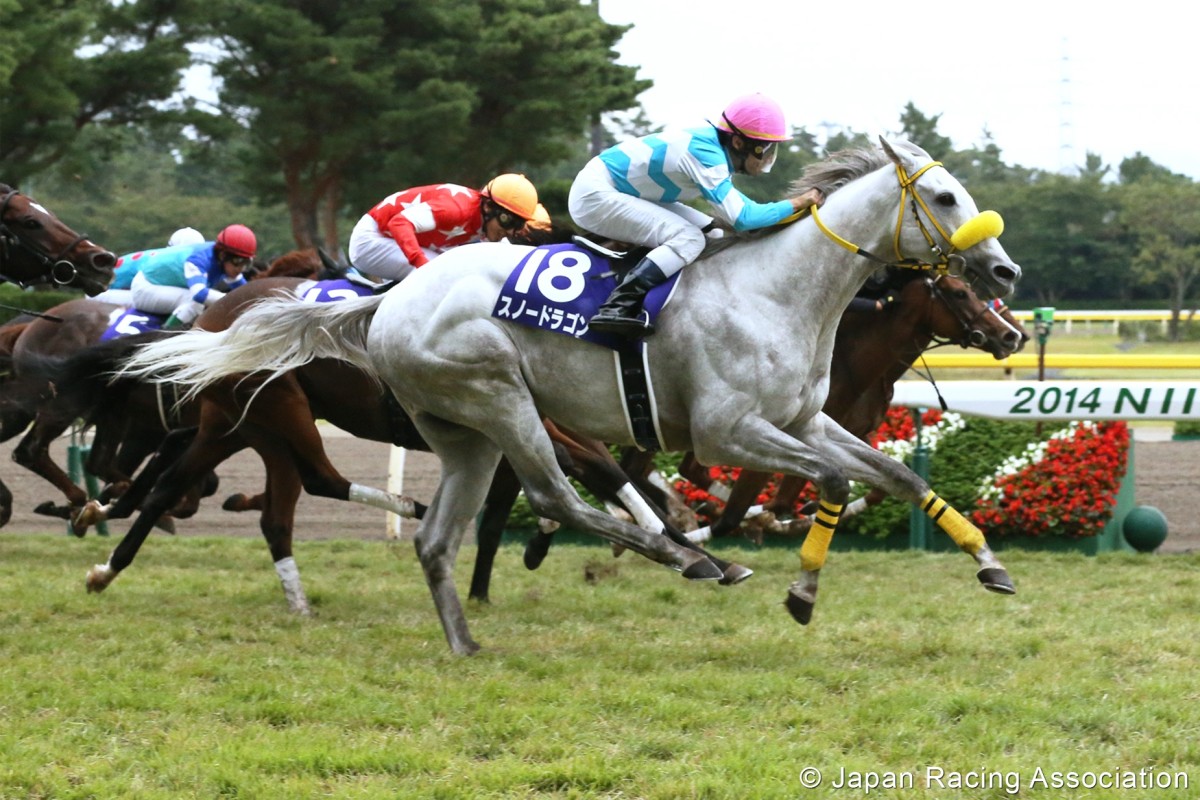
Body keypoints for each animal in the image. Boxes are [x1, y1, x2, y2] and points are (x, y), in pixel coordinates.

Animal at [117, 139, 1022, 657]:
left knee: (438, 539)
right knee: (554, 495)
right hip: (499, 399)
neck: (779, 288)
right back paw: (691, 559)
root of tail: (390, 303)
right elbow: (824, 482)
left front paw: (990, 564)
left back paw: (467, 642)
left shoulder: (803, 419)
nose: (1006, 273)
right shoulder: (728, 432)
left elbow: (894, 476)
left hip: (462, 434)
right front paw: (797, 592)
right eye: (945, 198)